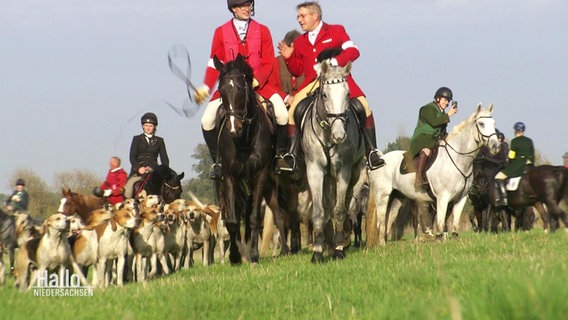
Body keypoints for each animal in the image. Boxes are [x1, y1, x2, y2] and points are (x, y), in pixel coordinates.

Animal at [212, 53, 286, 264]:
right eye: (220, 90)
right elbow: (232, 220)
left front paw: (253, 255)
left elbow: (253, 218)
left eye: (240, 88)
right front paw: (235, 256)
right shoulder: (229, 177)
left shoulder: (260, 175)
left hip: (268, 185)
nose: (233, 129)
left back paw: (286, 251)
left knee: (277, 215)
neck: (244, 139)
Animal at [302, 59, 364, 262]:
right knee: (328, 206)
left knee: (346, 205)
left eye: (347, 94)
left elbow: (339, 210)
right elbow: (319, 211)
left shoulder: (343, 171)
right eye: (324, 95)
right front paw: (317, 252)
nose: (339, 136)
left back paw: (340, 243)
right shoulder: (314, 171)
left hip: (354, 173)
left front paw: (338, 250)